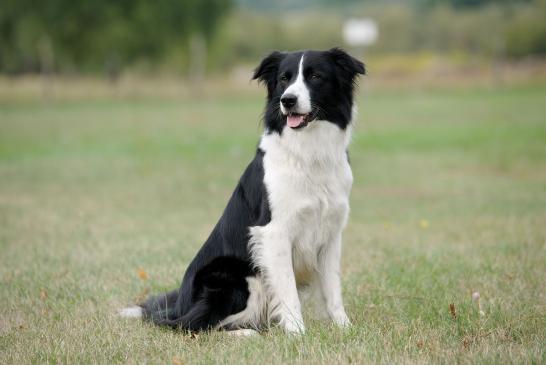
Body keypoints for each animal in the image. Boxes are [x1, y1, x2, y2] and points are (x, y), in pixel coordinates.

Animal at [121, 49, 364, 336]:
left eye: (315, 77)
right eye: (284, 79)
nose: (288, 100)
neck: (309, 154)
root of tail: (179, 305)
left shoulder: (331, 233)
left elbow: (333, 290)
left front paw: (345, 328)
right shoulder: (274, 232)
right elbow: (288, 290)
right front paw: (297, 334)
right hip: (238, 277)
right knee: (193, 325)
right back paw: (247, 333)